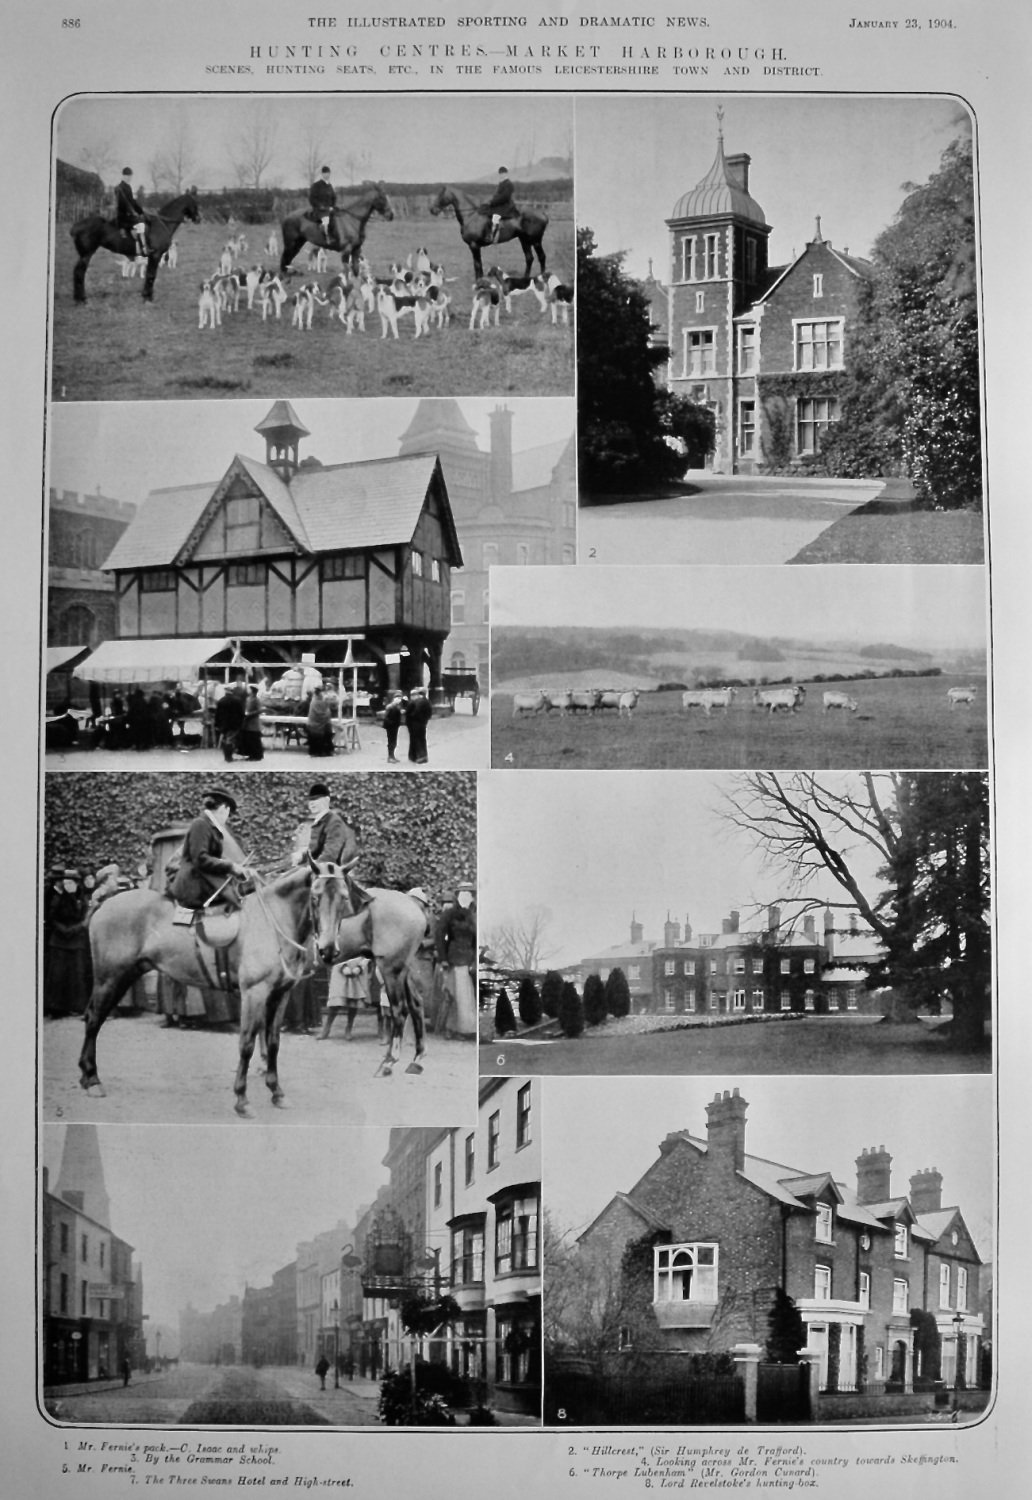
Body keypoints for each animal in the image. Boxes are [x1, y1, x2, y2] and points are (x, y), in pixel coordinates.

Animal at [70, 189, 201, 303]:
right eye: (195, 202)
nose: (199, 219)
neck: (163, 223)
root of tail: (76, 226)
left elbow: (149, 275)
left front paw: (147, 296)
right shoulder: (155, 255)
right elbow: (151, 276)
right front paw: (147, 298)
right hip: (86, 254)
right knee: (79, 273)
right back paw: (81, 300)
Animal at [77, 864, 351, 1122]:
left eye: (344, 897)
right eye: (315, 896)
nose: (328, 950)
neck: (273, 920)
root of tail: (104, 904)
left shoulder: (279, 995)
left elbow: (273, 1043)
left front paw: (277, 1093)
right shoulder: (254, 994)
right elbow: (247, 1044)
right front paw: (242, 1100)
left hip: (125, 975)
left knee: (95, 1018)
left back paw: (87, 1076)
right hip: (110, 978)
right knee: (93, 1019)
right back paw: (92, 1079)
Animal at [334, 876, 432, 1080]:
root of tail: (412, 903)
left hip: (390, 969)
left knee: (400, 1010)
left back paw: (389, 1061)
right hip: (403, 969)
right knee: (416, 1004)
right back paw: (416, 1059)